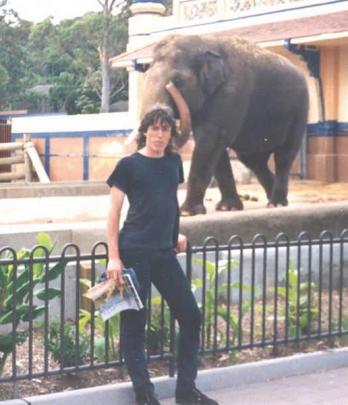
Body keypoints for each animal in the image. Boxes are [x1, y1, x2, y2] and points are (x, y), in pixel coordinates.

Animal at [140, 34, 308, 216]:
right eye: (145, 76)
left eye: (177, 82)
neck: (204, 41)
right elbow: (215, 147)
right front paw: (228, 208)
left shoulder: (231, 92)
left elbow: (210, 140)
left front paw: (187, 212)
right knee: (253, 160)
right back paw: (273, 200)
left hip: (299, 112)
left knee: (284, 156)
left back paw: (276, 204)